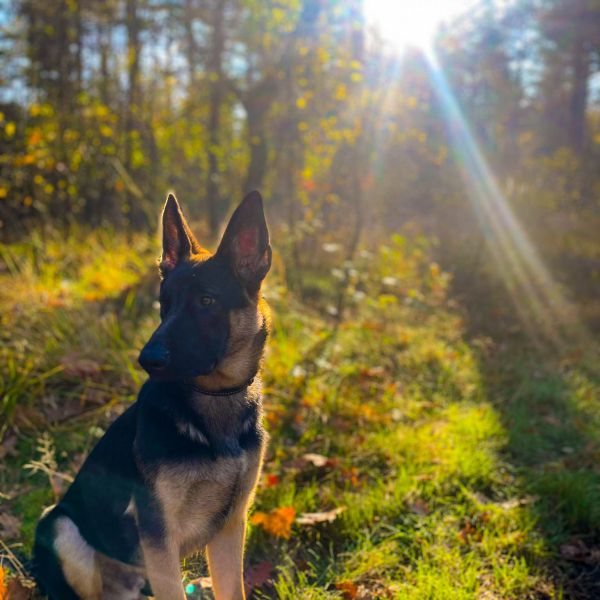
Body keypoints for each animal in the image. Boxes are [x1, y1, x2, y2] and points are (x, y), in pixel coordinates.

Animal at [34, 192, 274, 600]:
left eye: (207, 301)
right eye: (165, 302)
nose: (147, 359)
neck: (214, 398)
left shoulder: (230, 526)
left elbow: (231, 589)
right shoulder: (158, 533)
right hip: (59, 527)